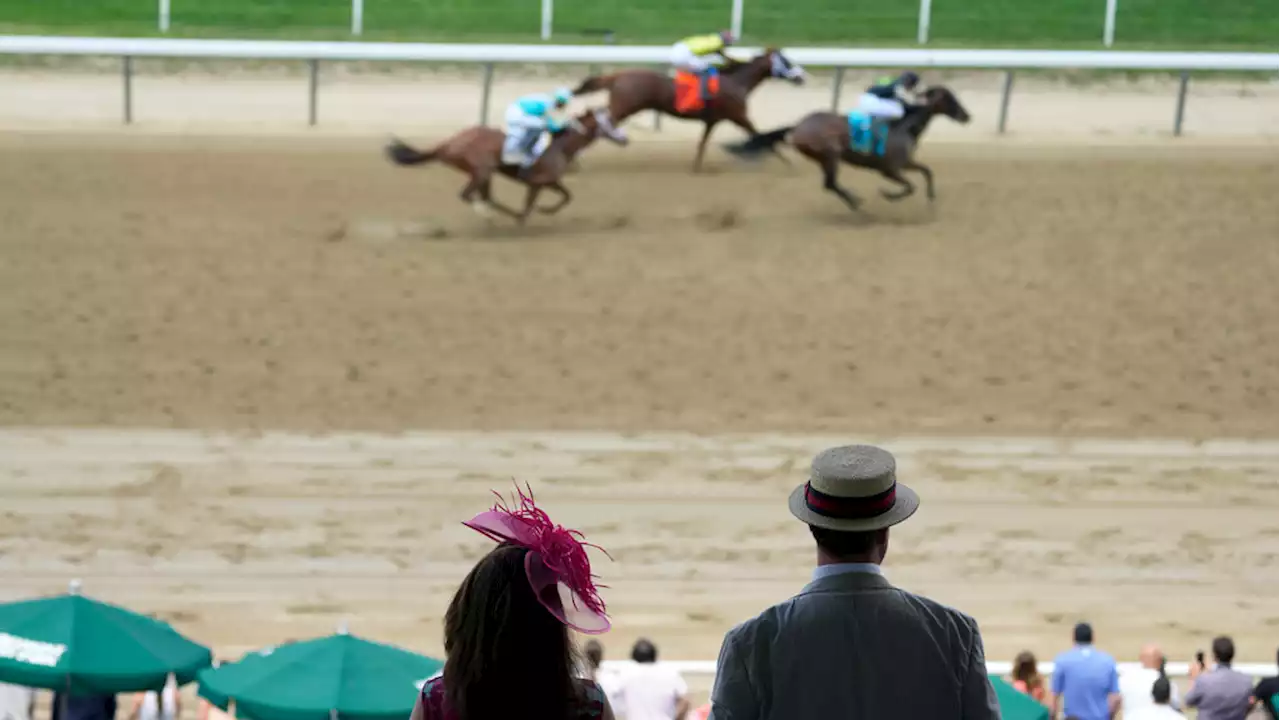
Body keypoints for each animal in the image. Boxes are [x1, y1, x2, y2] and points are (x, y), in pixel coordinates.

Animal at [381, 106, 627, 221]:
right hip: (480, 171)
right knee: (469, 195)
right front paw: (531, 214)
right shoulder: (537, 183)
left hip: (484, 174)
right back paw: (490, 214)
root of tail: (447, 143)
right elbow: (530, 207)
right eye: (611, 122)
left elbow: (567, 196)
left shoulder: (548, 181)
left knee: (484, 196)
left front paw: (545, 210)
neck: (559, 147)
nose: (625, 139)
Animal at [573, 48, 803, 171]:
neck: (737, 82)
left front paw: (697, 168)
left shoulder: (713, 121)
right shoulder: (739, 116)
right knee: (601, 124)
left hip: (622, 107)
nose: (802, 77)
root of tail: (618, 75)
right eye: (786, 61)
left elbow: (702, 143)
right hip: (624, 108)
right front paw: (789, 164)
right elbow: (761, 136)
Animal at [721, 85, 967, 211]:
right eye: (950, 98)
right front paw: (888, 194)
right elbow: (909, 186)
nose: (966, 116)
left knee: (829, 184)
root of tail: (798, 126)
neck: (903, 125)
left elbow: (927, 171)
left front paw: (932, 197)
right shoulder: (889, 169)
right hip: (830, 154)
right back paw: (856, 202)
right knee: (830, 183)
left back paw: (854, 201)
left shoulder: (905, 163)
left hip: (823, 158)